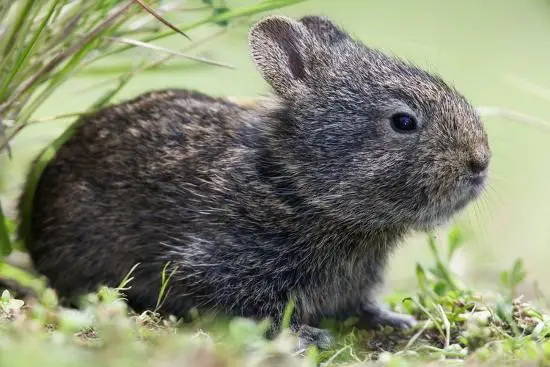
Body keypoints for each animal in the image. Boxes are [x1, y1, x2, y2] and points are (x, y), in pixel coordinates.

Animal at [18, 15, 492, 348]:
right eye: (403, 121)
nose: (480, 162)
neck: (298, 187)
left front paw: (393, 319)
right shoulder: (223, 263)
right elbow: (257, 308)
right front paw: (306, 337)